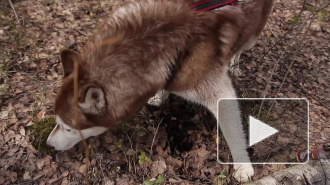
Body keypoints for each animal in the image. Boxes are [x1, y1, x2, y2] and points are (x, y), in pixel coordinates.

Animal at [45, 0, 274, 182]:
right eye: (57, 122)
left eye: (68, 128)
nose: (49, 144)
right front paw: (160, 95)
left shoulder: (218, 92)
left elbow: (233, 134)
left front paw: (243, 166)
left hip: (252, 36)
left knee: (242, 45)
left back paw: (234, 63)